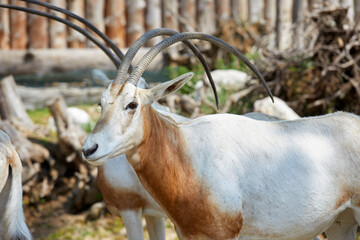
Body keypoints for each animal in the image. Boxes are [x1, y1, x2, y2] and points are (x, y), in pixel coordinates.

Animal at [81, 30, 360, 240]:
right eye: (100, 103)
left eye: (132, 104)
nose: (89, 149)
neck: (187, 153)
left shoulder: (223, 234)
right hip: (341, 222)